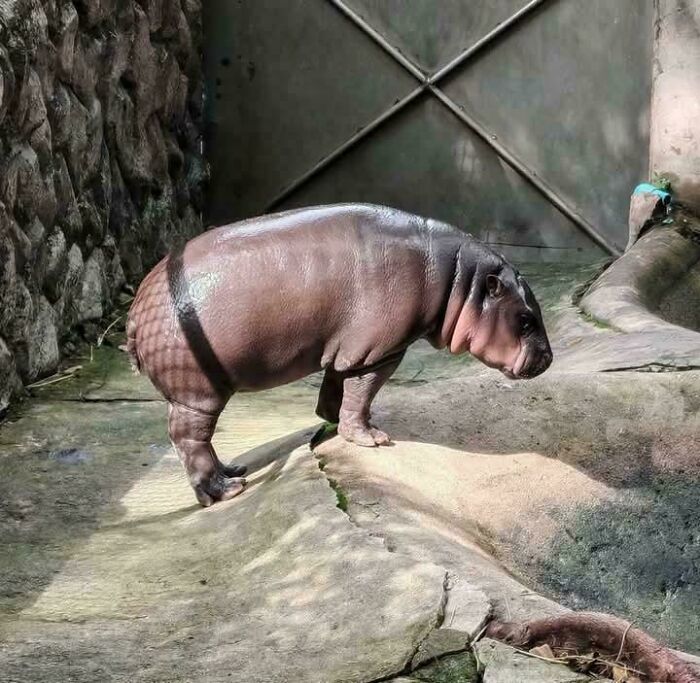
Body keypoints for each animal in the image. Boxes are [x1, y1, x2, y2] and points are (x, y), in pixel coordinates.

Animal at [127, 204, 552, 506]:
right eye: (526, 319)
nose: (549, 359)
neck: (460, 281)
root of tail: (135, 309)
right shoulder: (380, 351)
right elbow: (362, 393)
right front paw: (373, 439)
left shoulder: (347, 347)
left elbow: (337, 387)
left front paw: (331, 422)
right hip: (198, 392)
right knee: (189, 439)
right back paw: (225, 491)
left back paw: (235, 471)